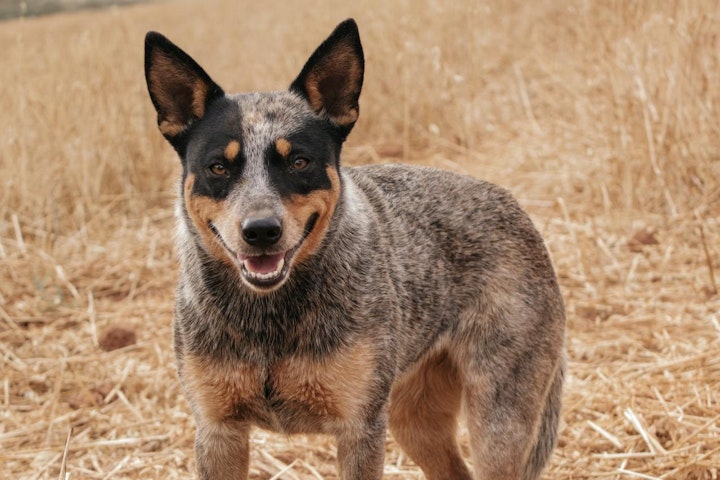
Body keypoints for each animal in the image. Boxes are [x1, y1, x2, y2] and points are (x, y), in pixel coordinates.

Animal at [143, 18, 564, 480]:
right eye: (218, 167)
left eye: (300, 162)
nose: (261, 231)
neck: (269, 317)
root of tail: (514, 205)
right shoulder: (218, 431)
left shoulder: (359, 428)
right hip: (412, 418)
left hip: (497, 421)